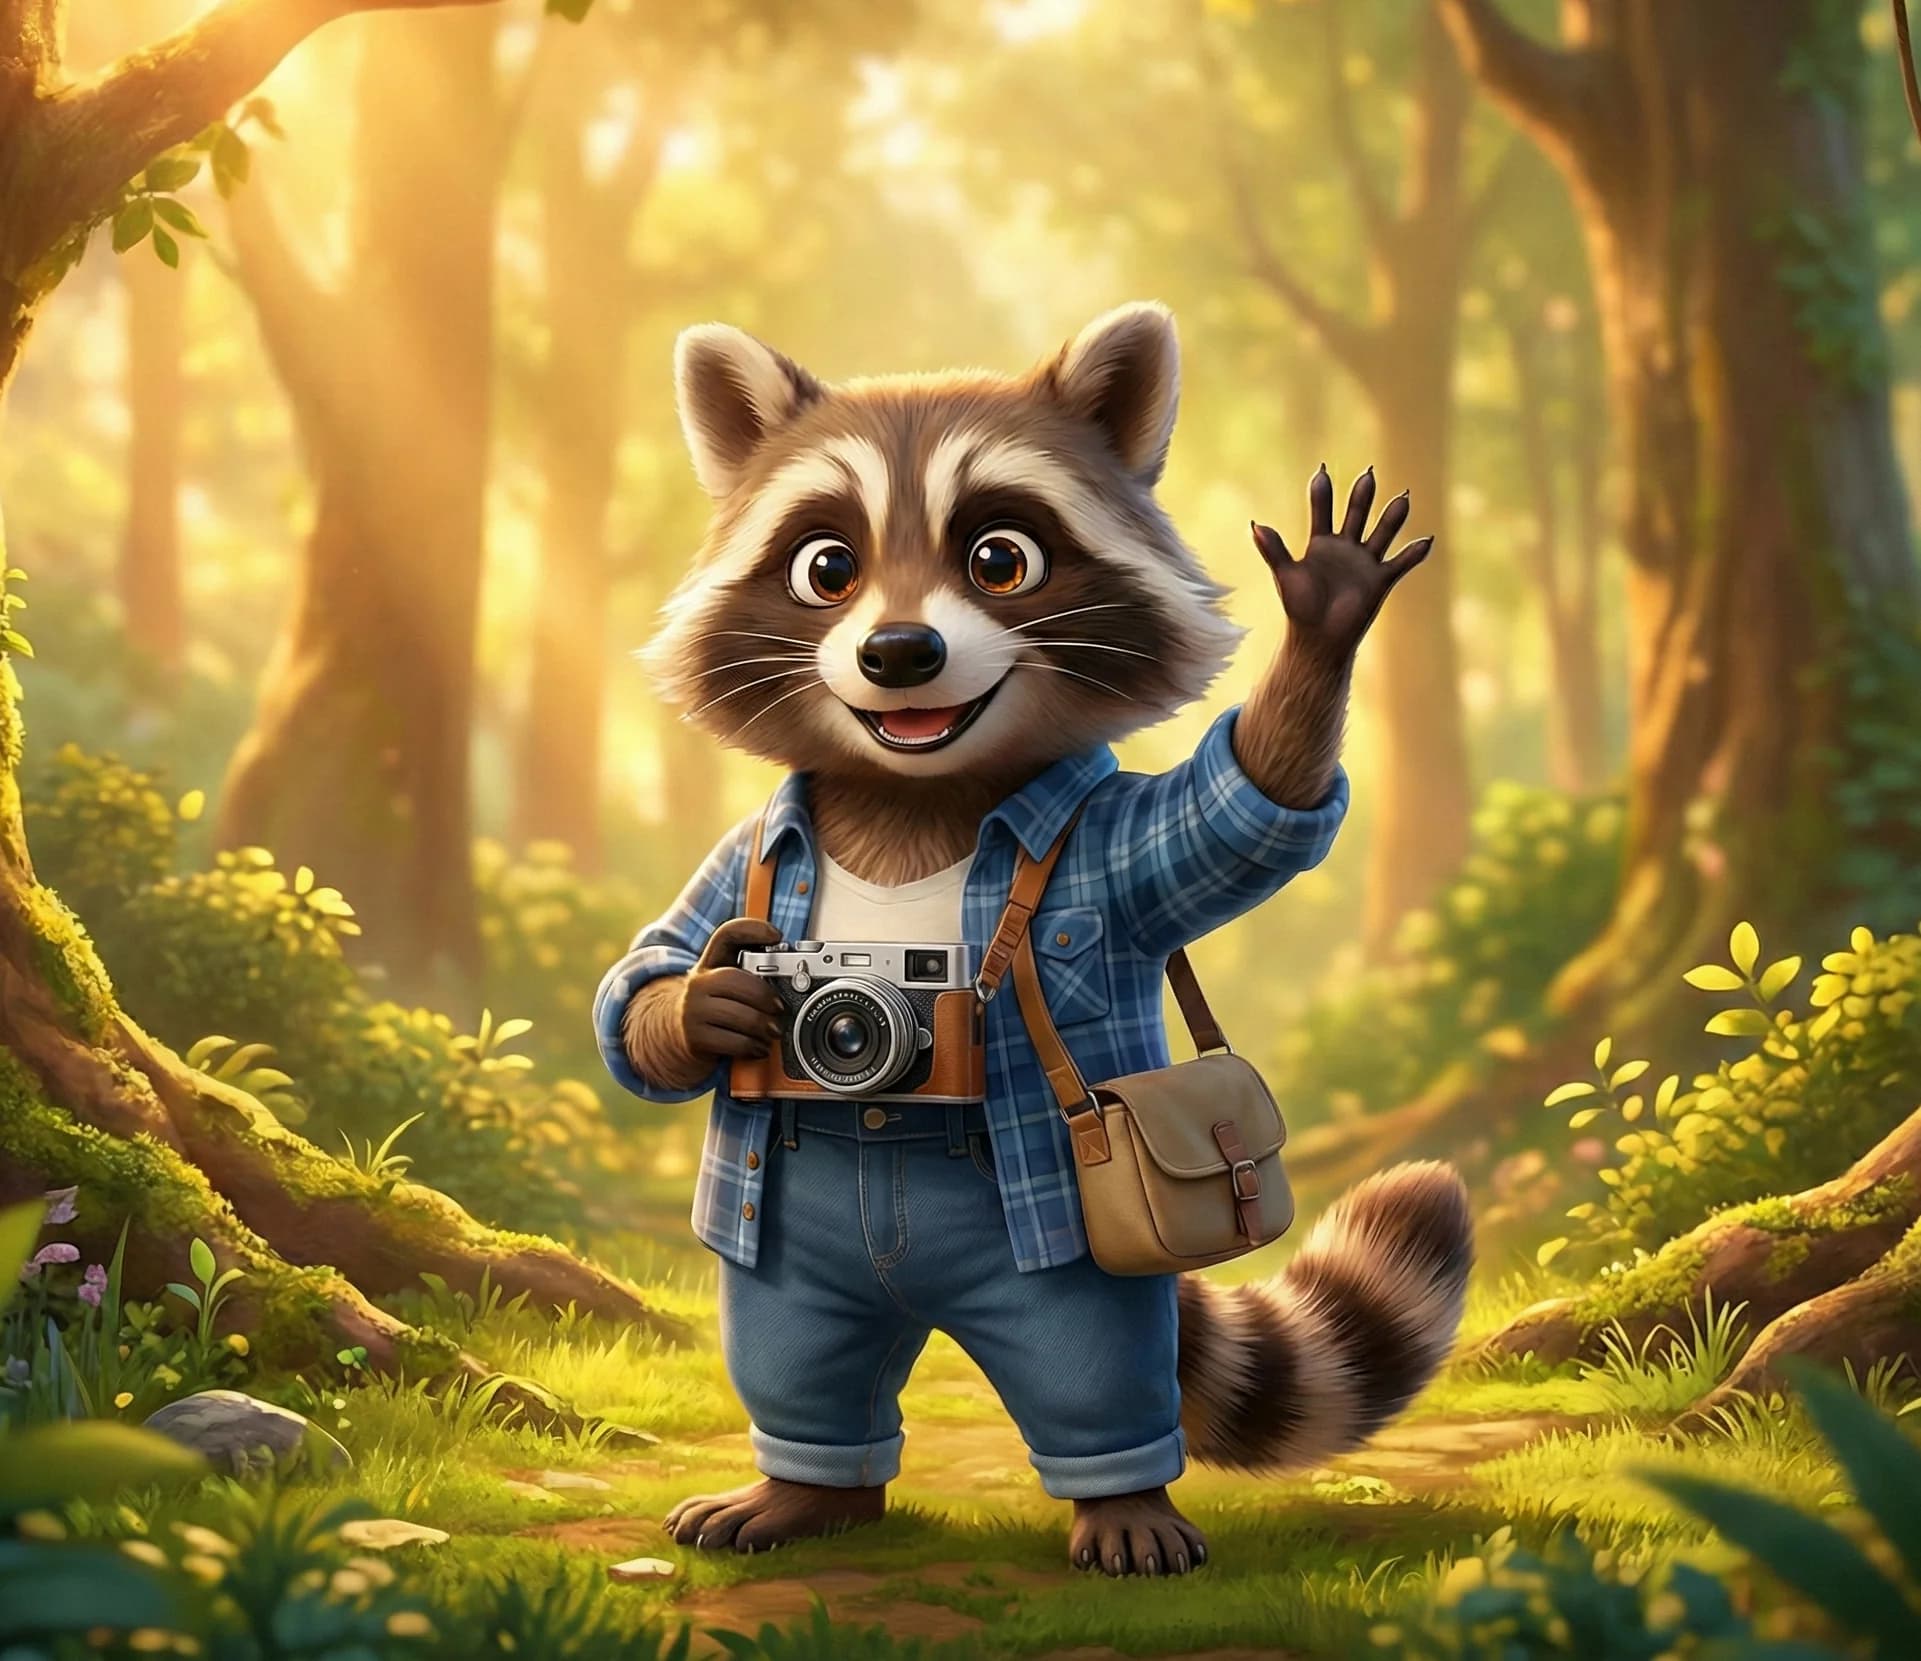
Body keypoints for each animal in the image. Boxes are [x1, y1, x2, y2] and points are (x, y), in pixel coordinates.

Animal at [611, 302, 1469, 1576]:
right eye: (827, 567)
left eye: (999, 558)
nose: (898, 654)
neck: (913, 797)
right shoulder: (745, 856)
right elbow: (655, 959)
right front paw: (706, 1003)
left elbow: (1236, 814)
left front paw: (1325, 612)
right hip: (791, 1263)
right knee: (793, 1353)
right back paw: (801, 1486)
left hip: (1077, 1271)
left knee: (1093, 1369)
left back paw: (1122, 1501)